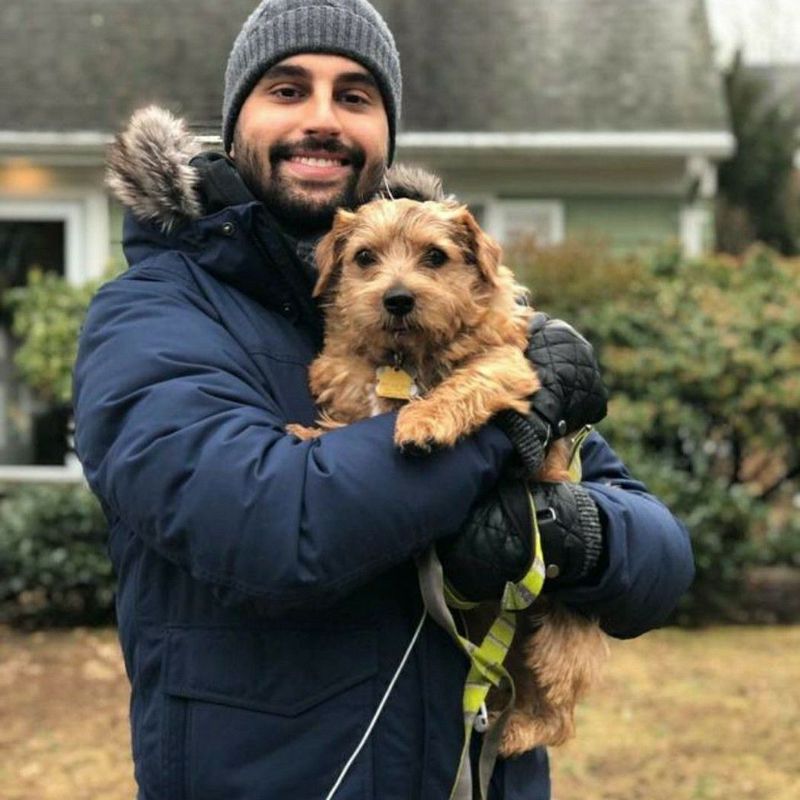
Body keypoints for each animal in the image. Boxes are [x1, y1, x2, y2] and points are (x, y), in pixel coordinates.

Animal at [290, 175, 608, 756]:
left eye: (435, 256)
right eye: (365, 257)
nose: (396, 299)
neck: (409, 355)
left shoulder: (510, 365)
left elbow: (465, 382)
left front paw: (421, 421)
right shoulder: (351, 375)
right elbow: (351, 397)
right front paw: (316, 431)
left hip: (557, 637)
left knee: (556, 709)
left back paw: (520, 729)